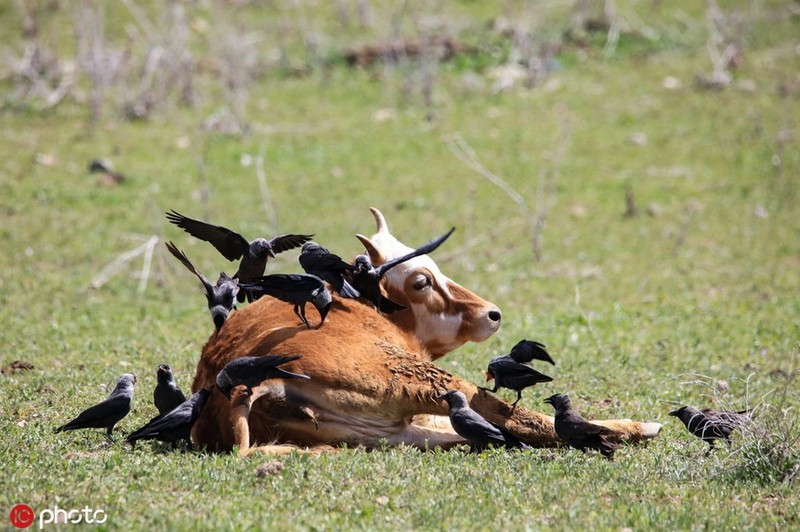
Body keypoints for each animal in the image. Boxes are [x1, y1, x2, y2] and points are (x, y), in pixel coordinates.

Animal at [189, 208, 664, 454]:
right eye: (421, 281)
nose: (491, 313)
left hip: (392, 430)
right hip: (426, 382)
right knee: (525, 421)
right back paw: (636, 427)